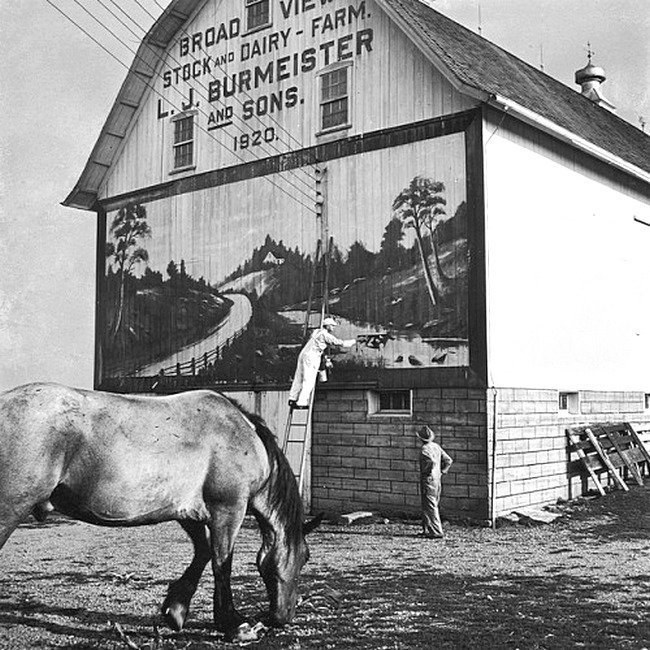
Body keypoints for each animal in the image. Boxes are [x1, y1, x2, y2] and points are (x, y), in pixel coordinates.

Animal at [0, 382, 318, 640]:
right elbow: (221, 564)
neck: (241, 434)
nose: (284, 617)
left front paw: (176, 609)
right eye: (304, 557)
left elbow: (203, 553)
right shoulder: (228, 510)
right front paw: (234, 625)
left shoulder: (188, 513)